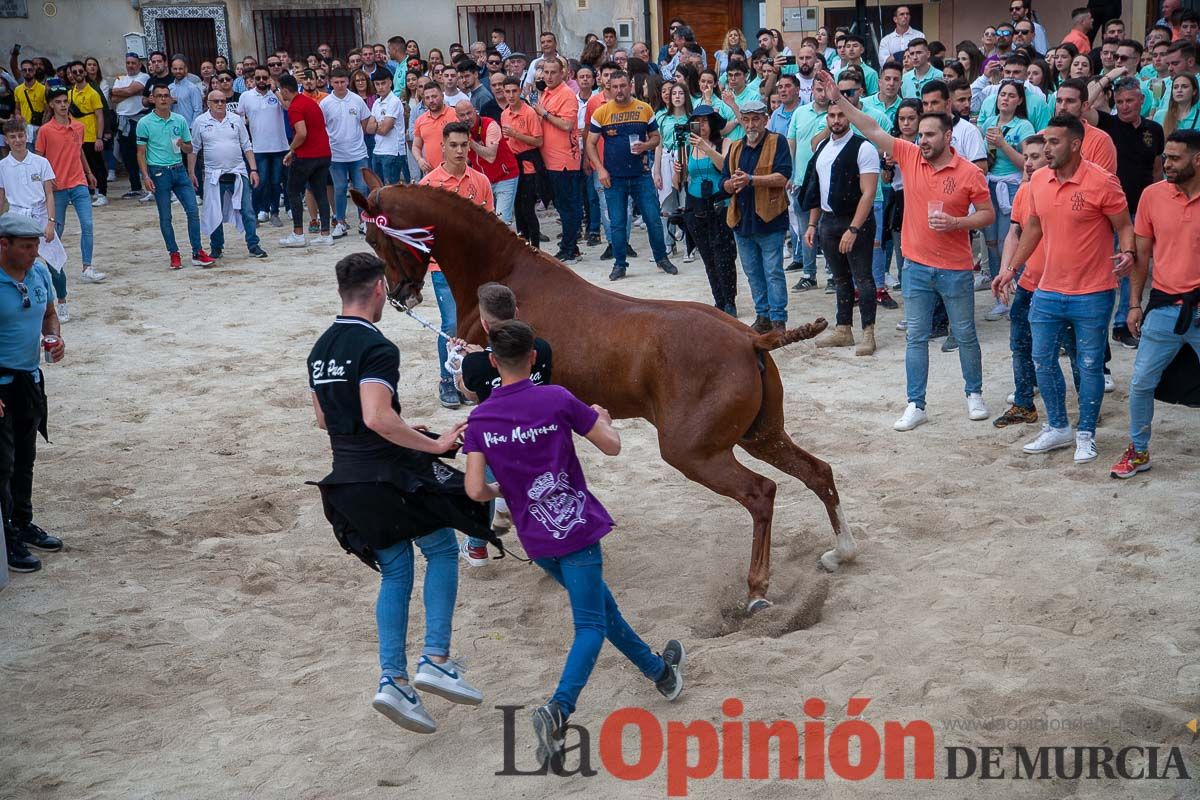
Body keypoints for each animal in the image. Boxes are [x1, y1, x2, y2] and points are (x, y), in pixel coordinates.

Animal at [350, 176, 859, 614]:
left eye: (375, 240)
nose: (399, 294)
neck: (505, 274)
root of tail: (750, 339)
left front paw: (495, 525)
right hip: (760, 435)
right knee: (818, 472)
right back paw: (842, 552)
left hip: (693, 451)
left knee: (761, 494)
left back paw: (756, 590)